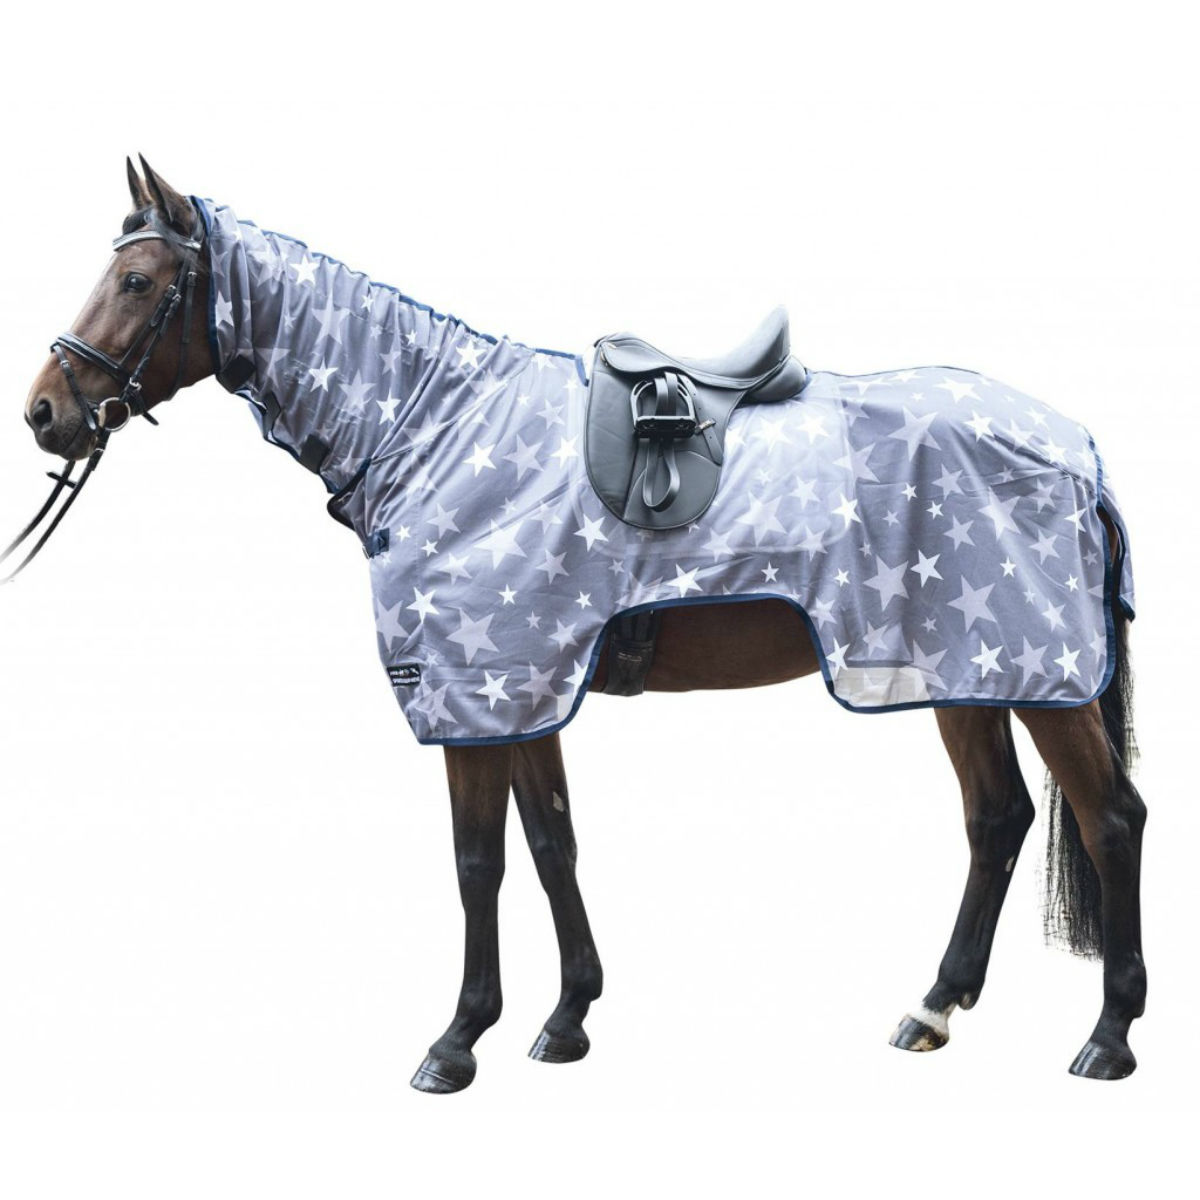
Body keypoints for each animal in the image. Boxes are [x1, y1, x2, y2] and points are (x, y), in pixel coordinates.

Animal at [14, 157, 1146, 1091]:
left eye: (140, 283)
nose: (43, 413)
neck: (434, 427)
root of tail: (1073, 447)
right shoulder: (524, 688)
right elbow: (552, 842)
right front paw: (565, 1021)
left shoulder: (477, 694)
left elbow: (479, 861)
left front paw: (457, 1041)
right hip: (961, 668)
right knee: (998, 818)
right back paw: (934, 1009)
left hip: (1038, 674)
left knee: (1111, 819)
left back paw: (1108, 1038)